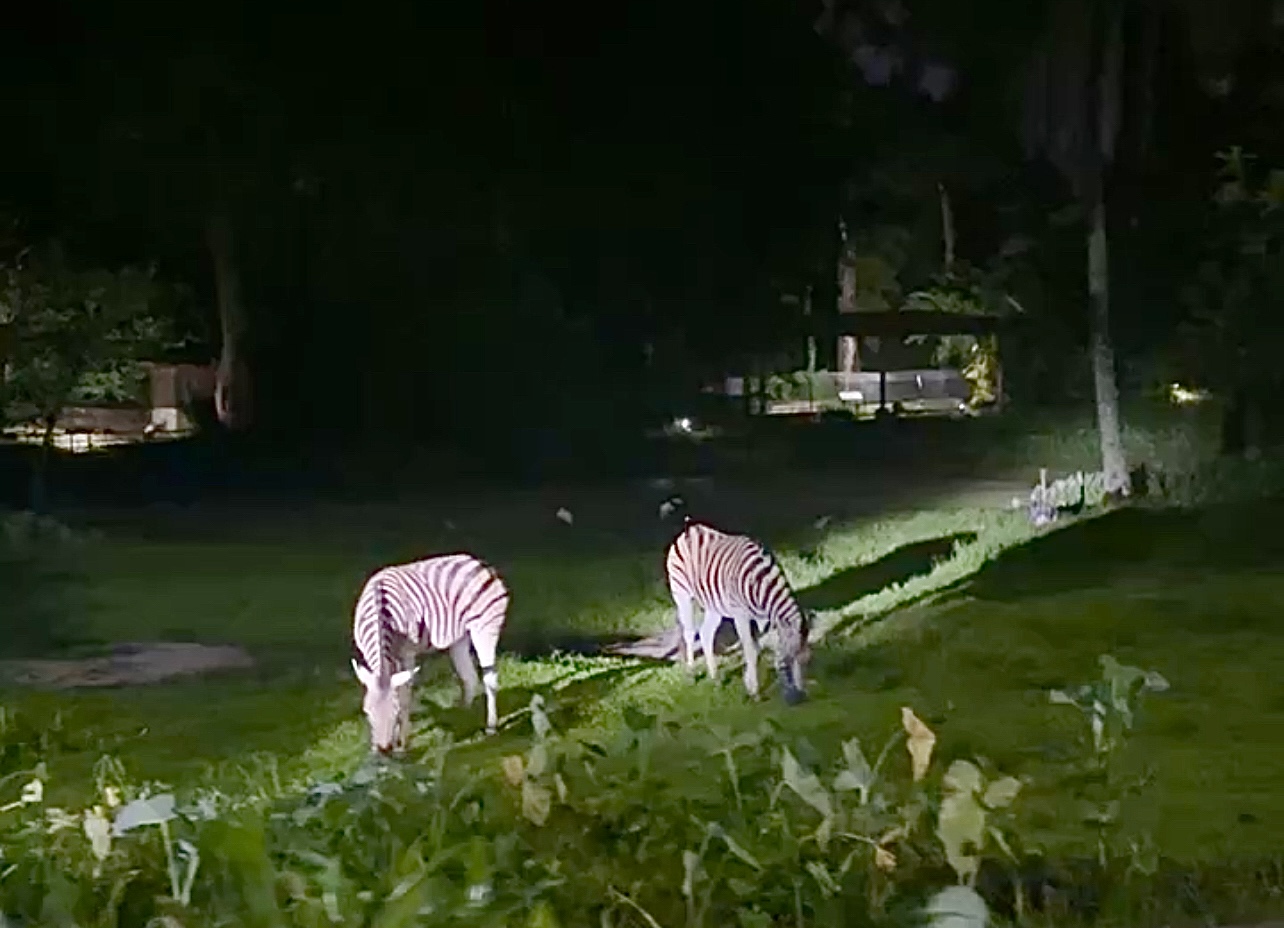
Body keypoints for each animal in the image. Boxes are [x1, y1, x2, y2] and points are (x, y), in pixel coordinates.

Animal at [350, 553, 509, 753]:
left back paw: (490, 727)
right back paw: (460, 718)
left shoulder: (407, 654)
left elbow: (405, 694)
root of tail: (478, 562)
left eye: (395, 712)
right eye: (366, 711)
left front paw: (403, 742)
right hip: (459, 638)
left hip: (485, 628)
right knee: (469, 678)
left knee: (490, 678)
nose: (383, 749)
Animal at [665, 518, 812, 704]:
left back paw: (715, 678)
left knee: (706, 633)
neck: (760, 583)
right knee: (689, 633)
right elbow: (750, 650)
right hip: (682, 594)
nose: (800, 699)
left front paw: (748, 684)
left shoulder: (762, 619)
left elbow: (756, 649)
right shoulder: (741, 615)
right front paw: (755, 691)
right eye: (787, 663)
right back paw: (691, 674)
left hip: (714, 603)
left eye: (807, 663)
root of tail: (691, 527)